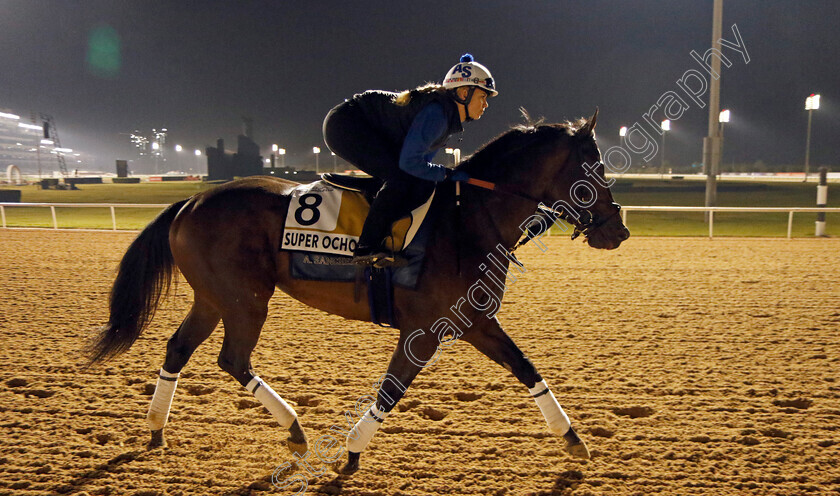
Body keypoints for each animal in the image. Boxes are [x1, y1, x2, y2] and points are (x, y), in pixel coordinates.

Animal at [88, 109, 632, 476]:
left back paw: (157, 429)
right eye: (596, 167)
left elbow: (526, 368)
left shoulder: (475, 321)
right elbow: (392, 389)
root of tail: (192, 200)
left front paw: (574, 440)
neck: (469, 220)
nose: (619, 230)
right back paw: (294, 430)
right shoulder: (425, 328)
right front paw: (350, 451)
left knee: (179, 349)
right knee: (233, 359)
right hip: (245, 300)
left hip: (214, 297)